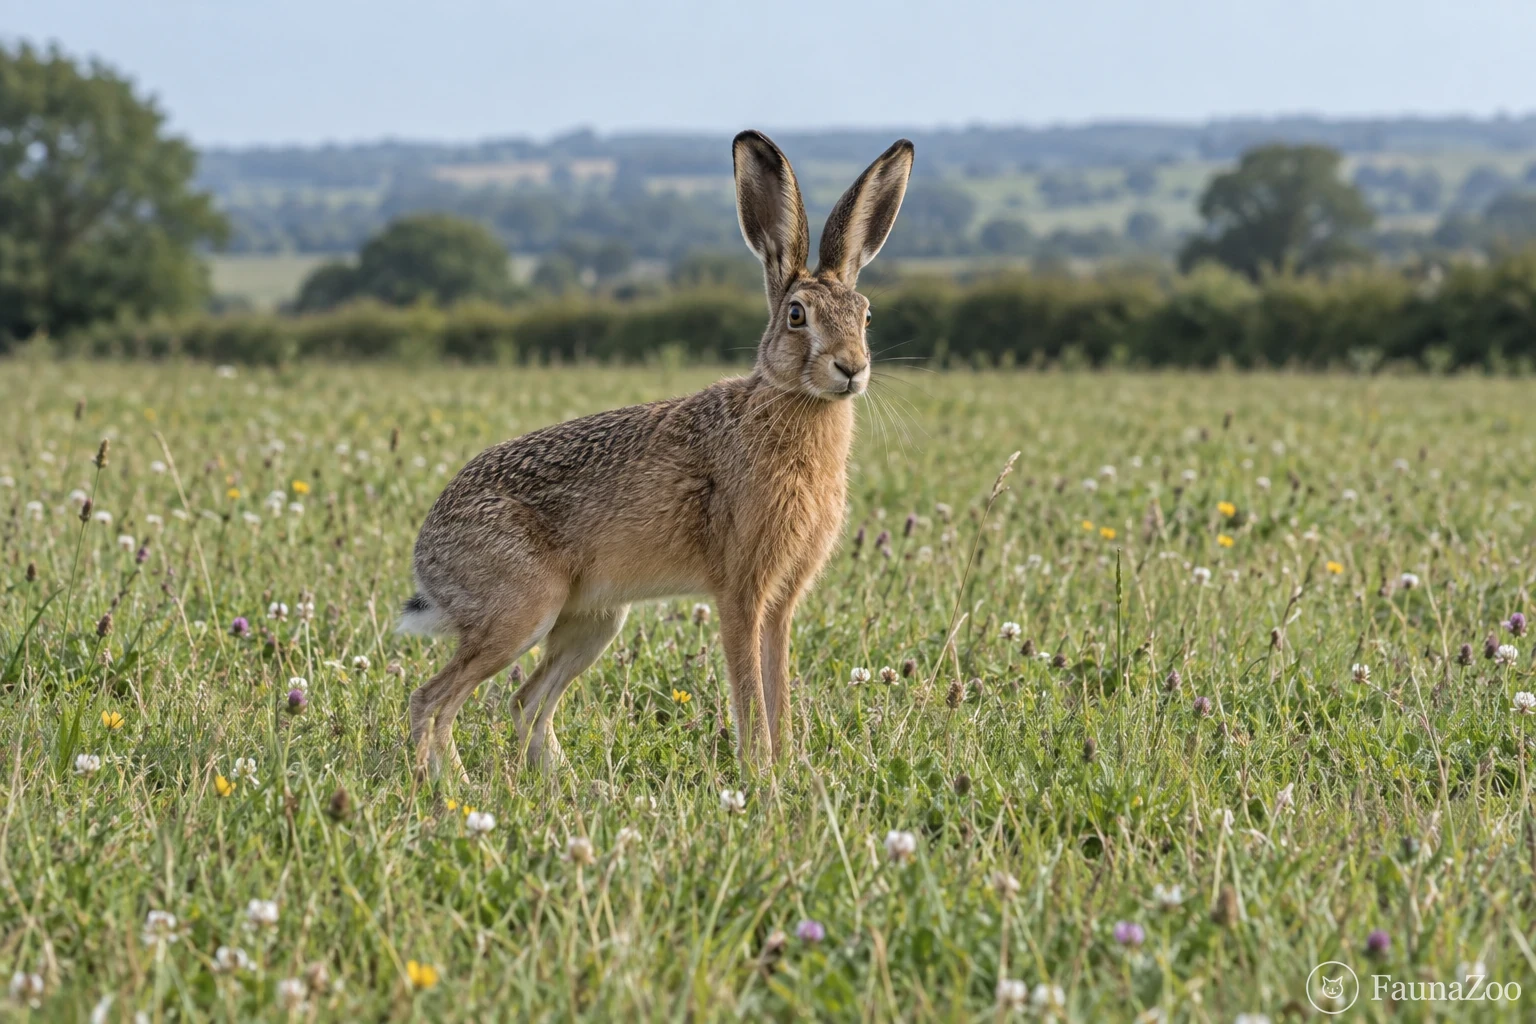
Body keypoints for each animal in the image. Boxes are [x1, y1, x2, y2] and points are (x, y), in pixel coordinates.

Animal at [399, 130, 914, 781]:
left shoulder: (779, 602)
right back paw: (454, 788)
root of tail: (428, 552)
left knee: (525, 700)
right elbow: (750, 694)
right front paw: (761, 775)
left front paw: (789, 769)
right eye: (797, 315)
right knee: (433, 700)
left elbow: (779, 690)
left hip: (594, 622)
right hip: (518, 611)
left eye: (866, 314)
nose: (851, 368)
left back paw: (567, 786)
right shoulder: (740, 592)